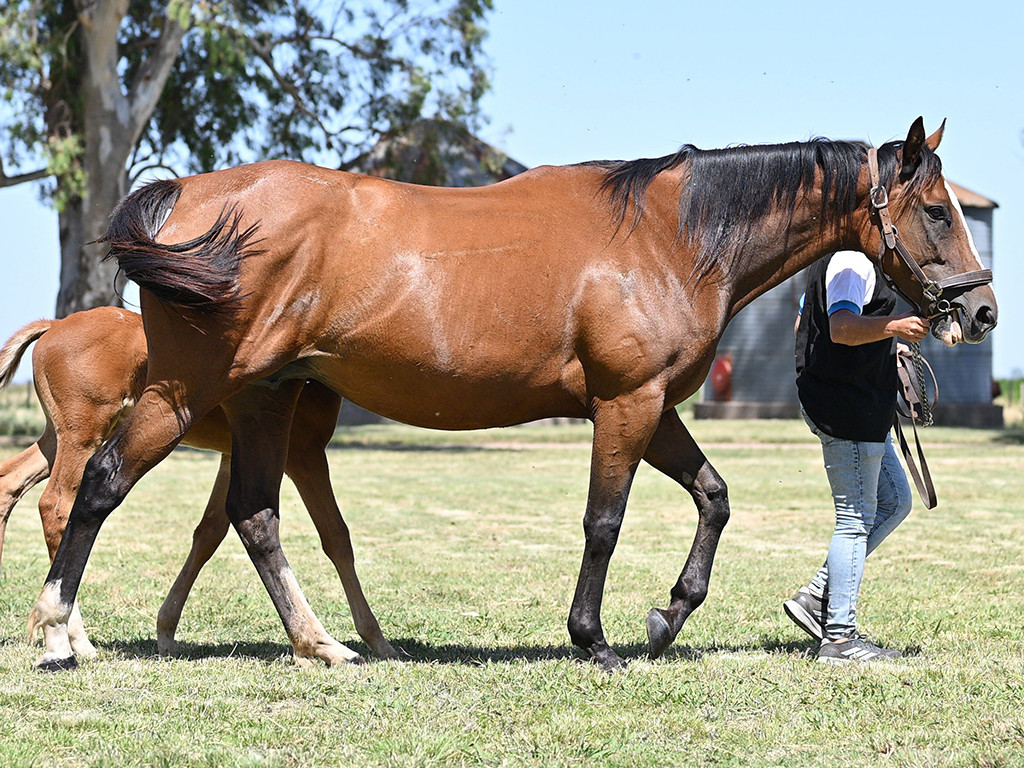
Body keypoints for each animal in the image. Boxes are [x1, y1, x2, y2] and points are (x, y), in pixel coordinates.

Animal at [0, 307, 396, 664]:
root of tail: (55, 324)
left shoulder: (232, 455)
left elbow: (209, 533)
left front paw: (166, 630)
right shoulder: (304, 453)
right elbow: (336, 536)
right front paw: (373, 641)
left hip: (60, 437)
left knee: (10, 483)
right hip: (83, 435)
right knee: (56, 505)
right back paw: (73, 641)